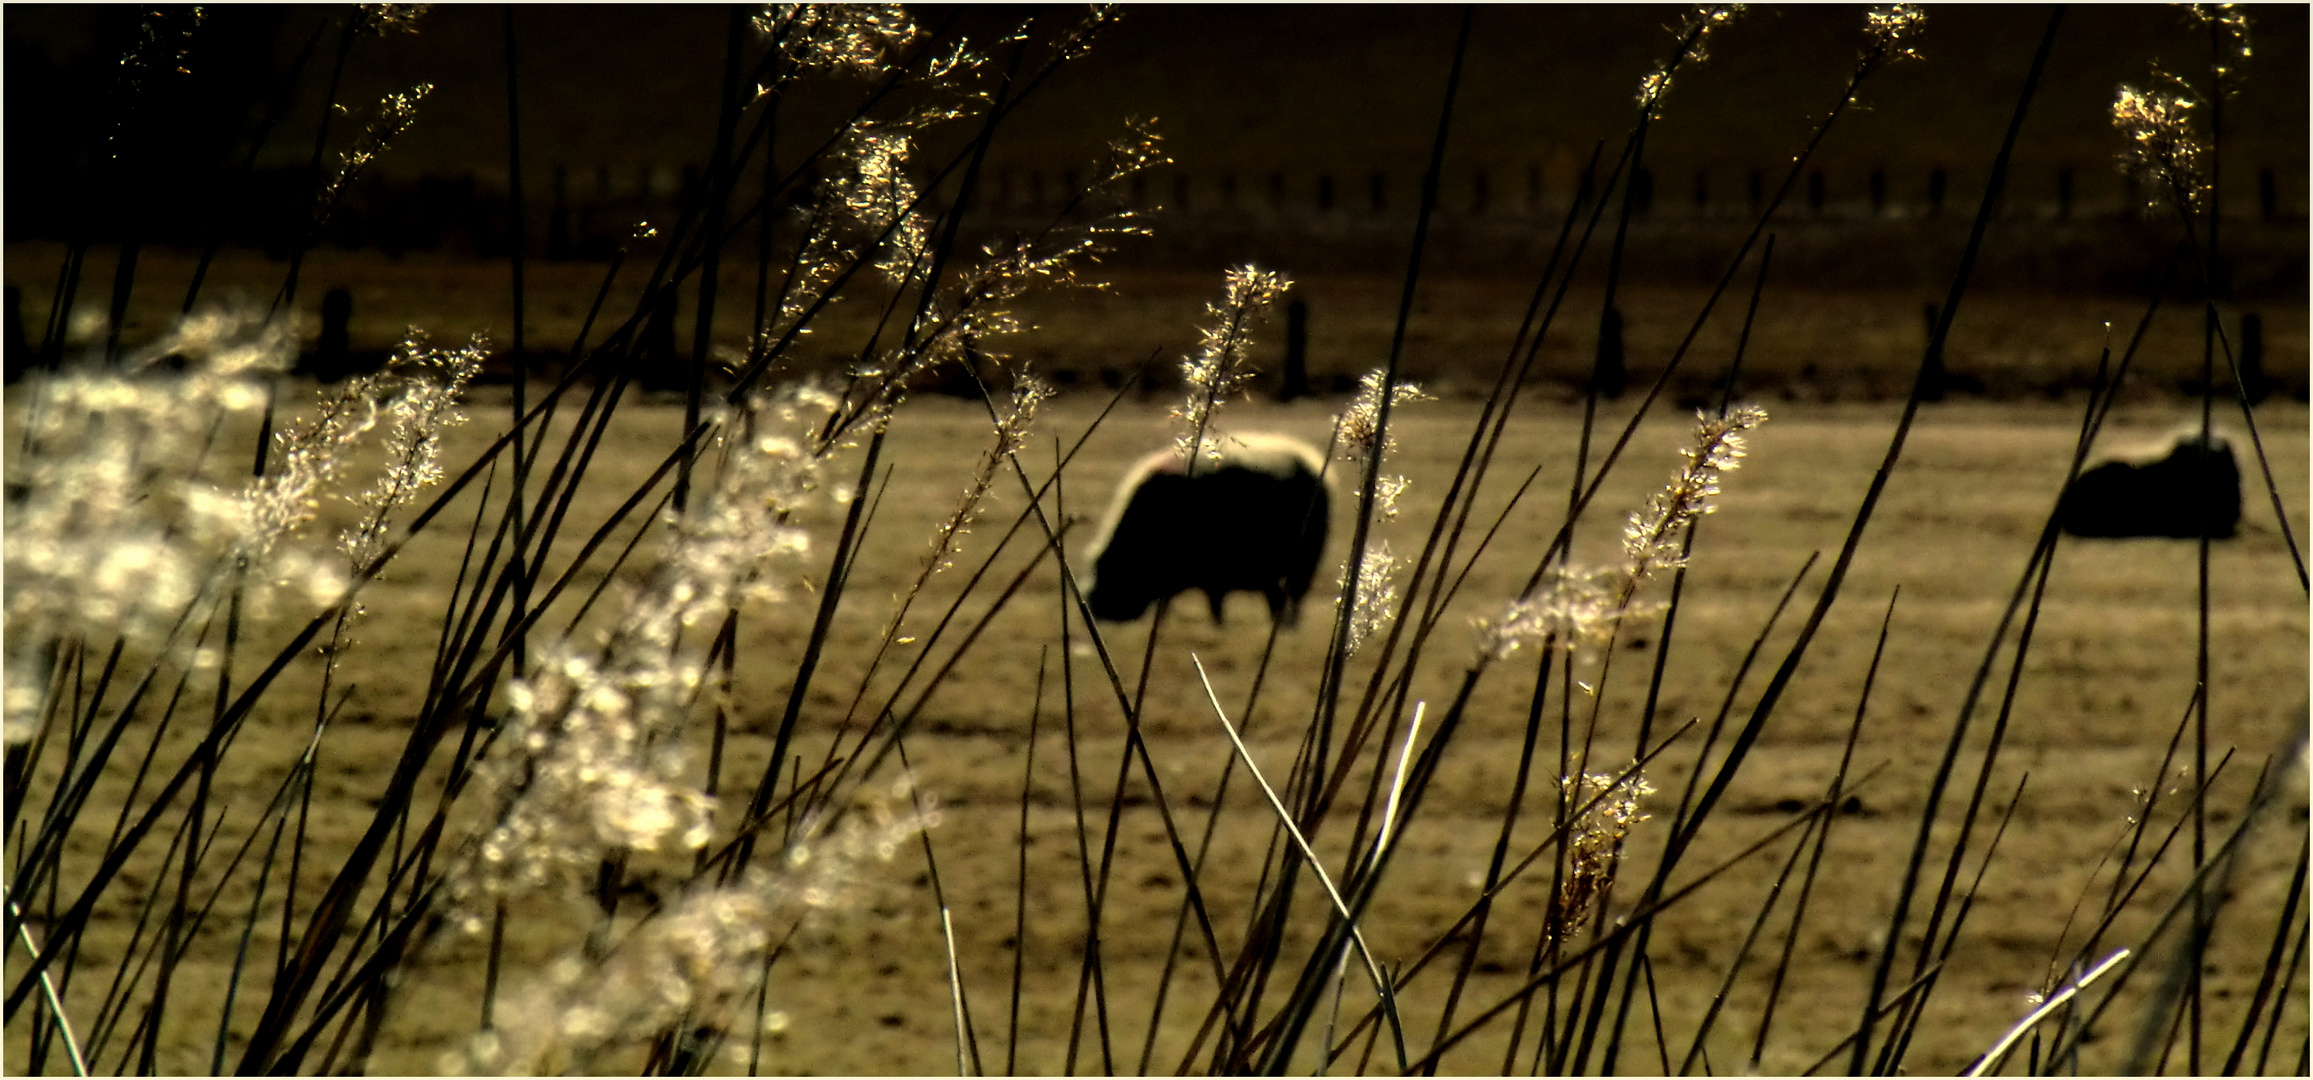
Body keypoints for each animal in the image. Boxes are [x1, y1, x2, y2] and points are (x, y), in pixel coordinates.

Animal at [1077, 432, 1332, 624]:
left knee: (1295, 596)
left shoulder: (1210, 572)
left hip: (1304, 562)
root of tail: (1316, 467)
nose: (1093, 609)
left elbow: (1212, 602)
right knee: (1278, 598)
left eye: (1112, 569)